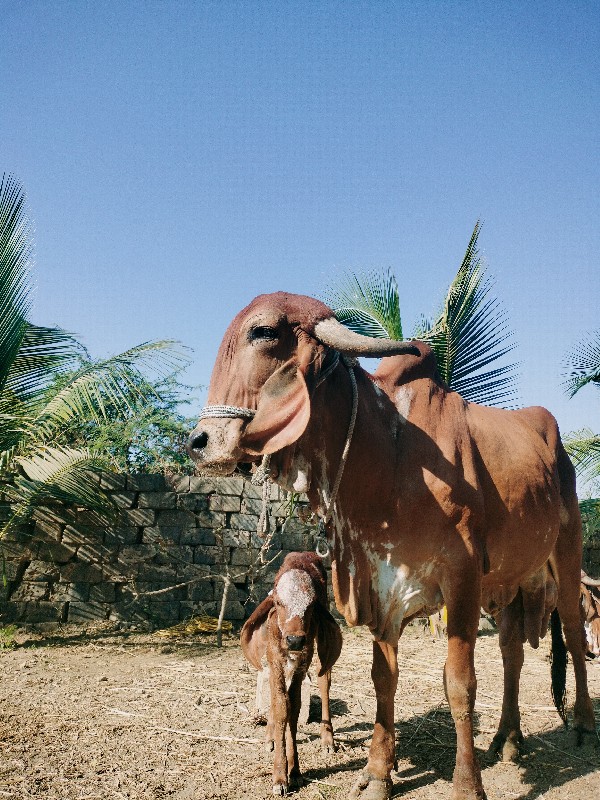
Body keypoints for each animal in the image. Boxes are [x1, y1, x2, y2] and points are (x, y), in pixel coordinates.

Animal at [240, 552, 342, 796]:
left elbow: (294, 707)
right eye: (278, 603)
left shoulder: (303, 658)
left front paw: (294, 771)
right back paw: (270, 736)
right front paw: (280, 775)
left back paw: (327, 739)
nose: (295, 640)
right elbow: (280, 705)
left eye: (312, 605)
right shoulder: (276, 656)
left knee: (324, 681)